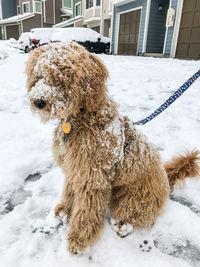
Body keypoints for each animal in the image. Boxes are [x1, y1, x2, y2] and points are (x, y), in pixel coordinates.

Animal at [25, 42, 200, 255]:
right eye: (39, 75)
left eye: (63, 78)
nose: (38, 102)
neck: (81, 118)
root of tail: (166, 179)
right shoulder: (73, 169)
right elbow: (69, 191)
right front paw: (65, 211)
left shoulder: (92, 177)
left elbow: (87, 211)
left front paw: (78, 239)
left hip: (132, 198)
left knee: (138, 216)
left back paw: (123, 225)